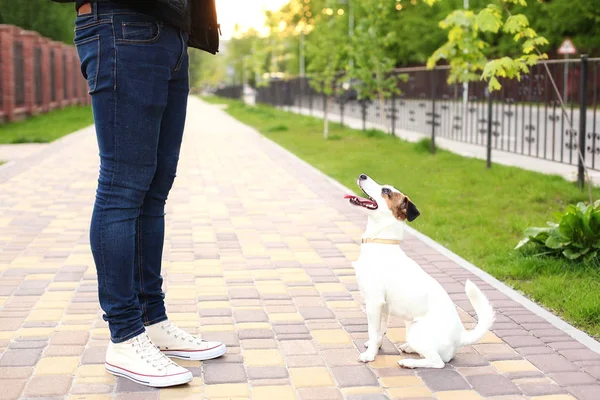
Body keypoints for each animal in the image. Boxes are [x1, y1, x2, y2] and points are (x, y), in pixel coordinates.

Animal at [344, 175, 494, 368]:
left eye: (386, 191)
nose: (362, 175)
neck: (381, 242)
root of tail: (461, 337)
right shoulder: (382, 306)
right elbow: (379, 332)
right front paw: (374, 346)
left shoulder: (374, 302)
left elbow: (373, 330)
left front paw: (370, 355)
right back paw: (409, 349)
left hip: (416, 330)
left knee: (437, 362)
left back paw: (408, 362)